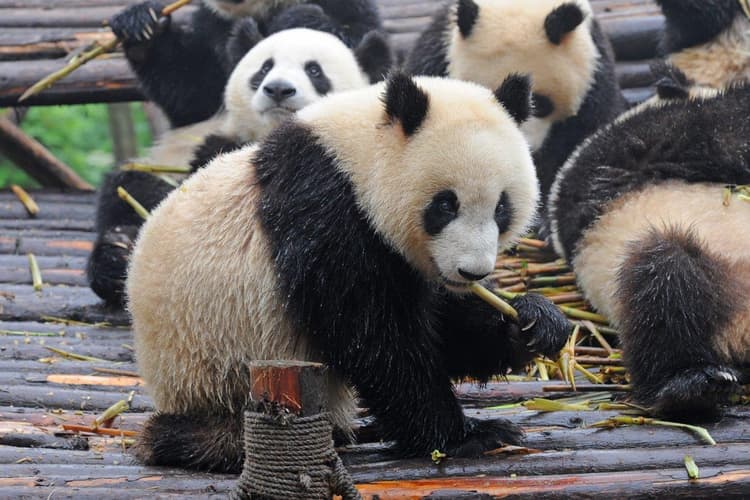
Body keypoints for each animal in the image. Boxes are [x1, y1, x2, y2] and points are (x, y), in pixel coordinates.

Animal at [126, 73, 572, 472]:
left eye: (502, 207)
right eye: (445, 205)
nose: (472, 272)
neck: (355, 156)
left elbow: (442, 328)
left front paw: (533, 323)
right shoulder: (323, 208)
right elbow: (368, 334)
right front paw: (467, 435)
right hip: (217, 368)